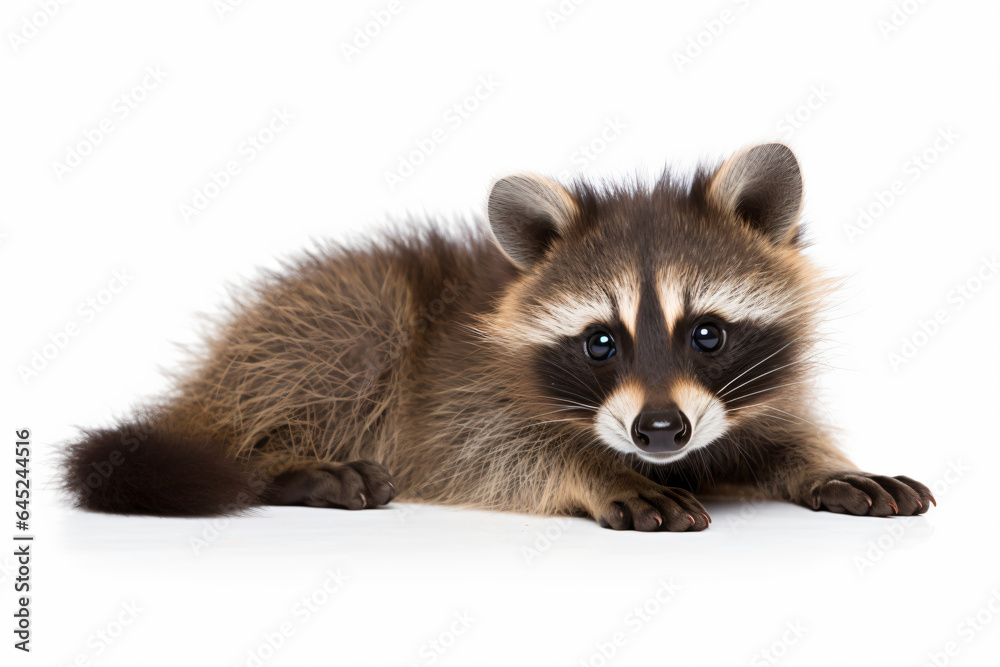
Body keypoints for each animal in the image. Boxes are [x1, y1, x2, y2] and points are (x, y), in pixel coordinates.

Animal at [60, 144, 936, 528]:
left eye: (708, 334)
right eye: (601, 342)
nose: (659, 431)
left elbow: (777, 436)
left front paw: (824, 461)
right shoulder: (459, 390)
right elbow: (491, 451)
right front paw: (591, 468)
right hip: (340, 312)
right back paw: (284, 463)